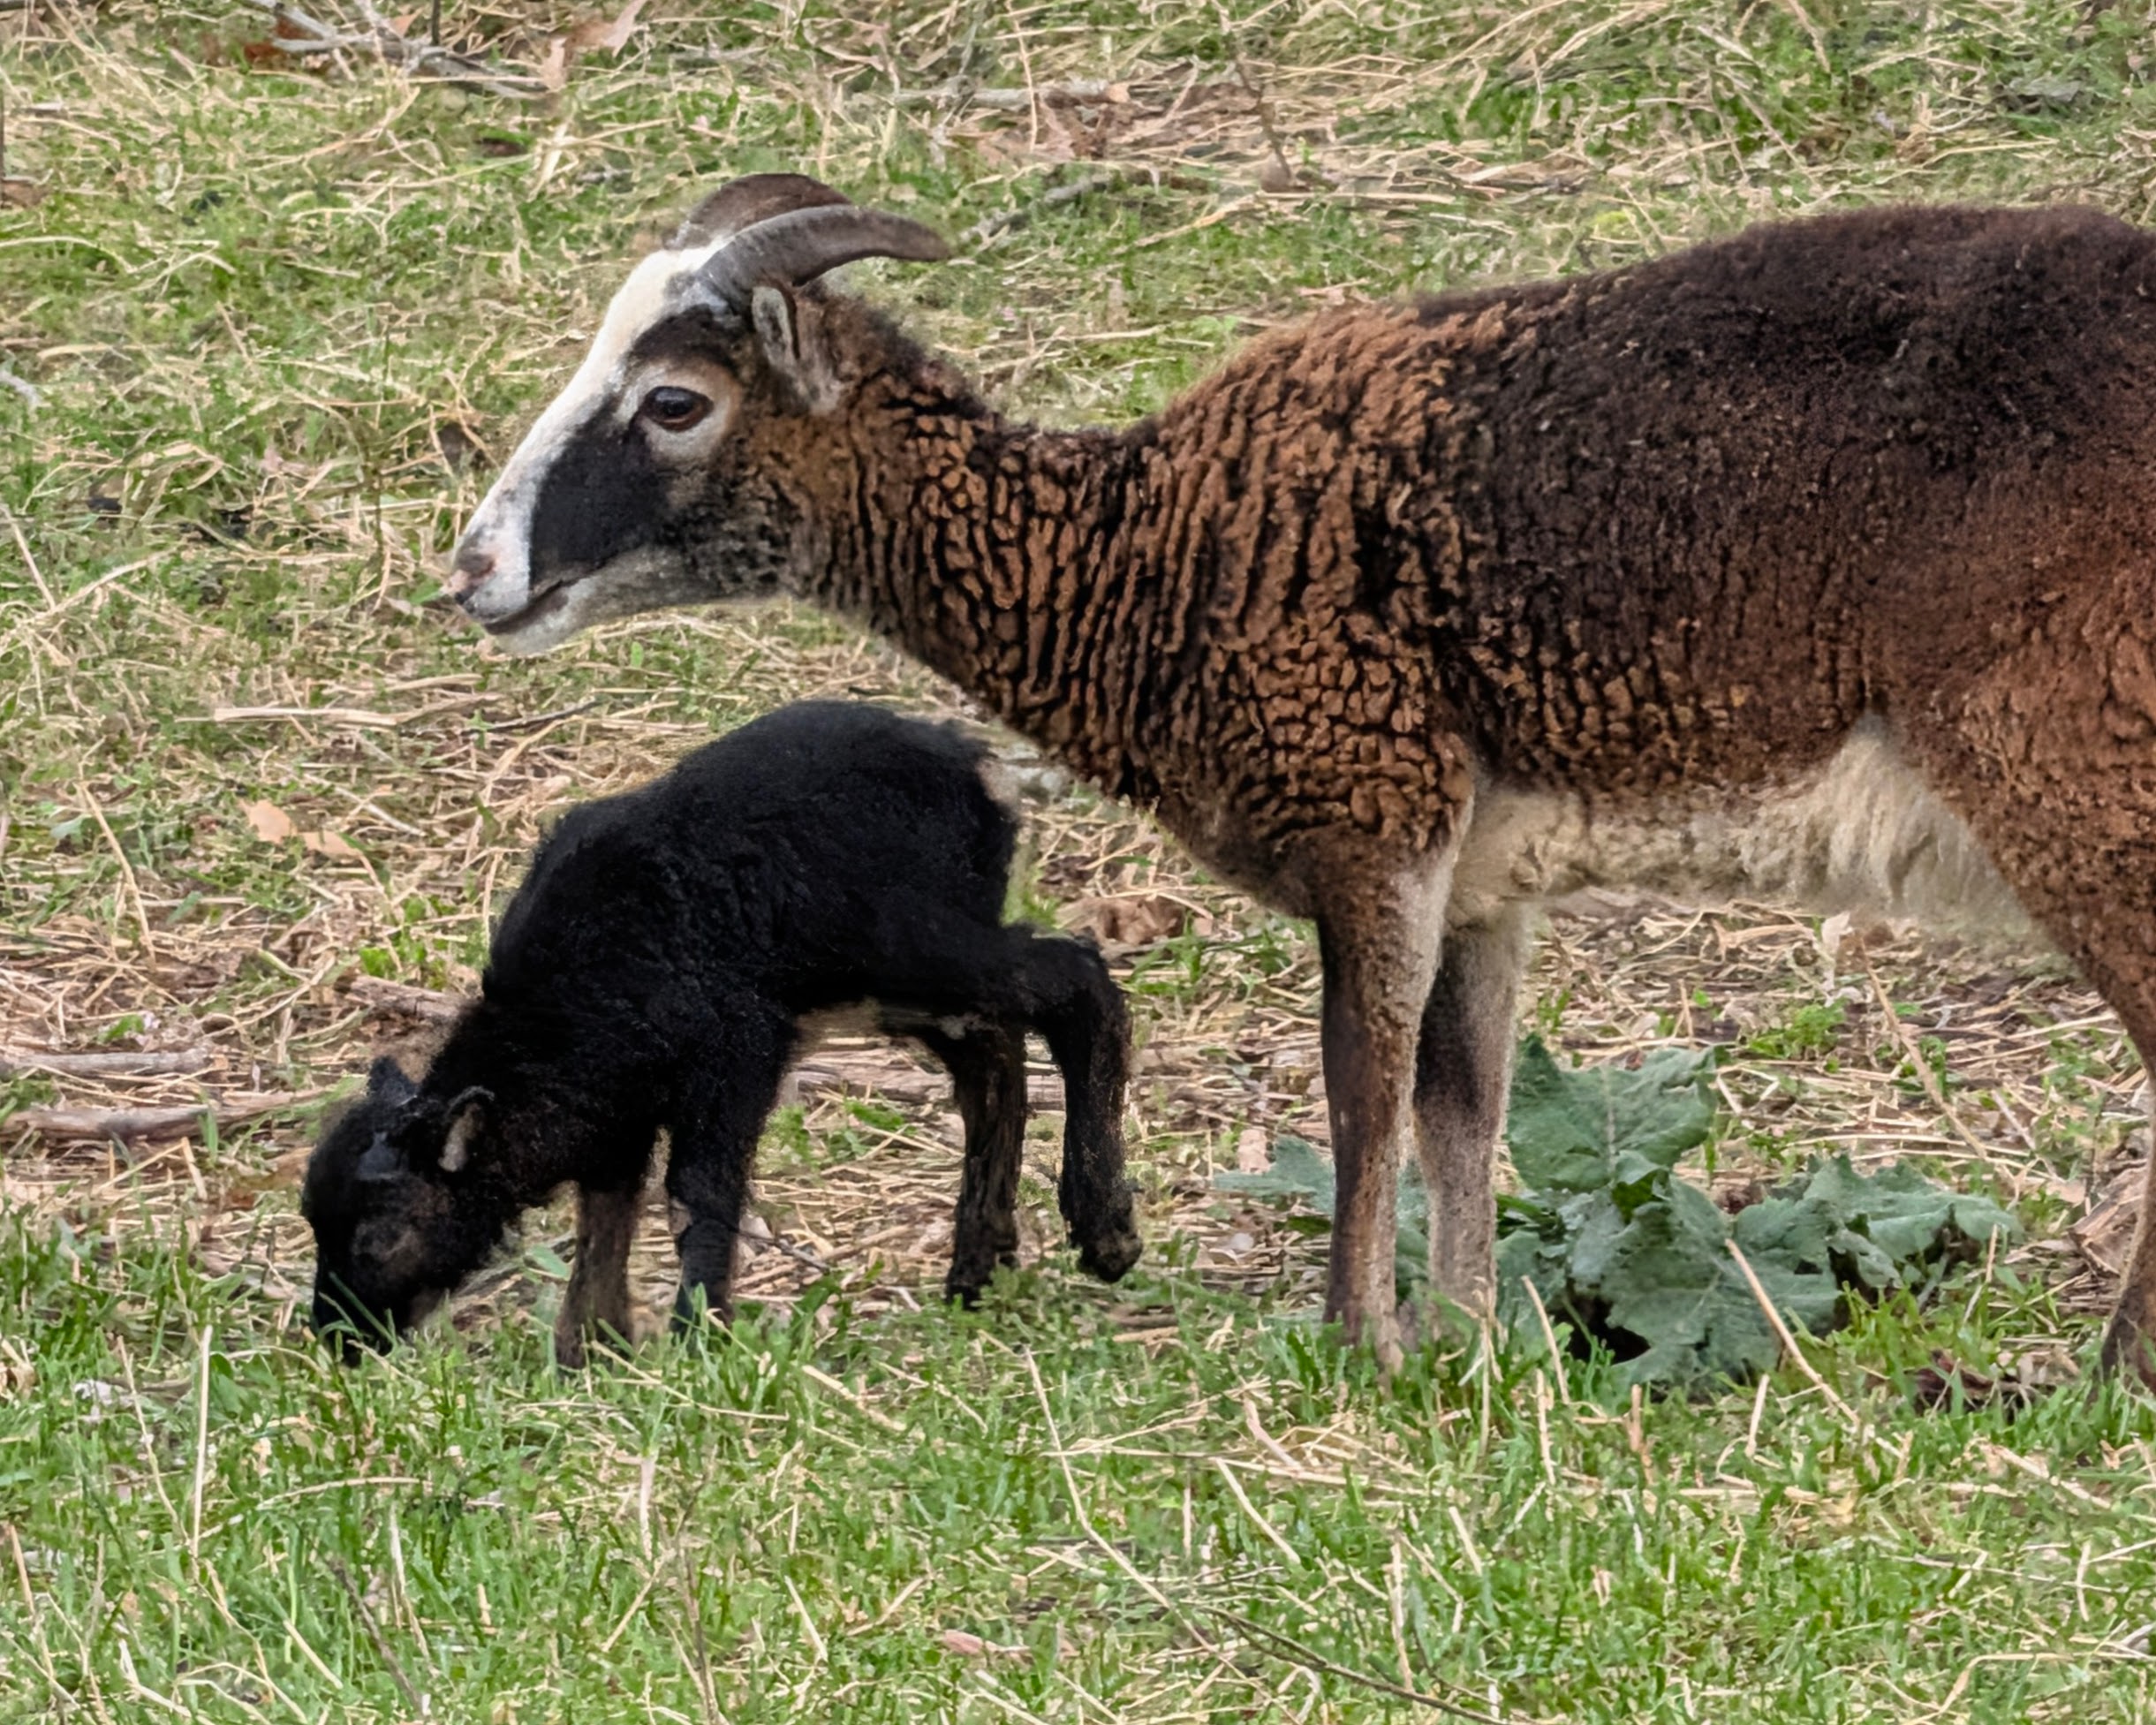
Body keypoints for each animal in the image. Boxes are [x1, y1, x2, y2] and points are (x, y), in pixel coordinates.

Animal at [302, 700, 1141, 1364]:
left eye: (381, 1235)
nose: (340, 1340)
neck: (561, 1013)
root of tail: (976, 768)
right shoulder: (617, 1112)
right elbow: (605, 1213)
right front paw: (589, 1350)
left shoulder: (736, 1050)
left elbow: (694, 1191)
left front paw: (696, 1336)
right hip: (895, 983)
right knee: (993, 1057)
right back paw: (977, 1265)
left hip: (913, 941)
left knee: (1076, 982)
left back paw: (1104, 1232)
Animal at [445, 176, 2156, 1382]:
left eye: (677, 401)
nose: (476, 571)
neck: (1143, 557)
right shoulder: (1483, 874)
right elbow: (1462, 1102)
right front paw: (1464, 1346)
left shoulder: (1369, 814)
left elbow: (1359, 1084)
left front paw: (1361, 1347)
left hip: (2068, 769)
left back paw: (2107, 1378)